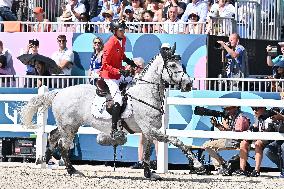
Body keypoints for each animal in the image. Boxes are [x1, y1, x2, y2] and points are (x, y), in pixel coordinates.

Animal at [21, 49, 205, 179]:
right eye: (173, 65)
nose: (188, 84)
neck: (146, 93)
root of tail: (59, 92)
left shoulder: (148, 131)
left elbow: (147, 151)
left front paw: (149, 173)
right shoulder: (151, 130)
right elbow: (177, 141)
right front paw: (198, 165)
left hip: (68, 126)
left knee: (53, 136)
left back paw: (45, 159)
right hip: (69, 127)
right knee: (63, 146)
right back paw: (72, 170)